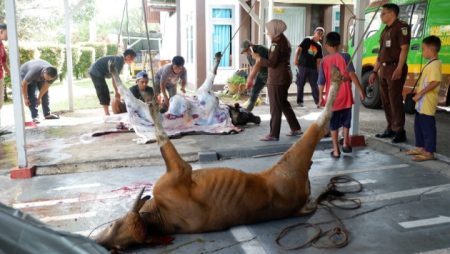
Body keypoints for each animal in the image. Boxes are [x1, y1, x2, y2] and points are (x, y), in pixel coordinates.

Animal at [93, 65, 342, 250]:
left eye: (113, 224)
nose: (98, 242)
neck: (158, 218)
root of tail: (302, 203)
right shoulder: (179, 170)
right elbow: (161, 135)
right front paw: (155, 109)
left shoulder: (177, 172)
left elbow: (160, 133)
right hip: (292, 162)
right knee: (320, 125)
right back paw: (338, 80)